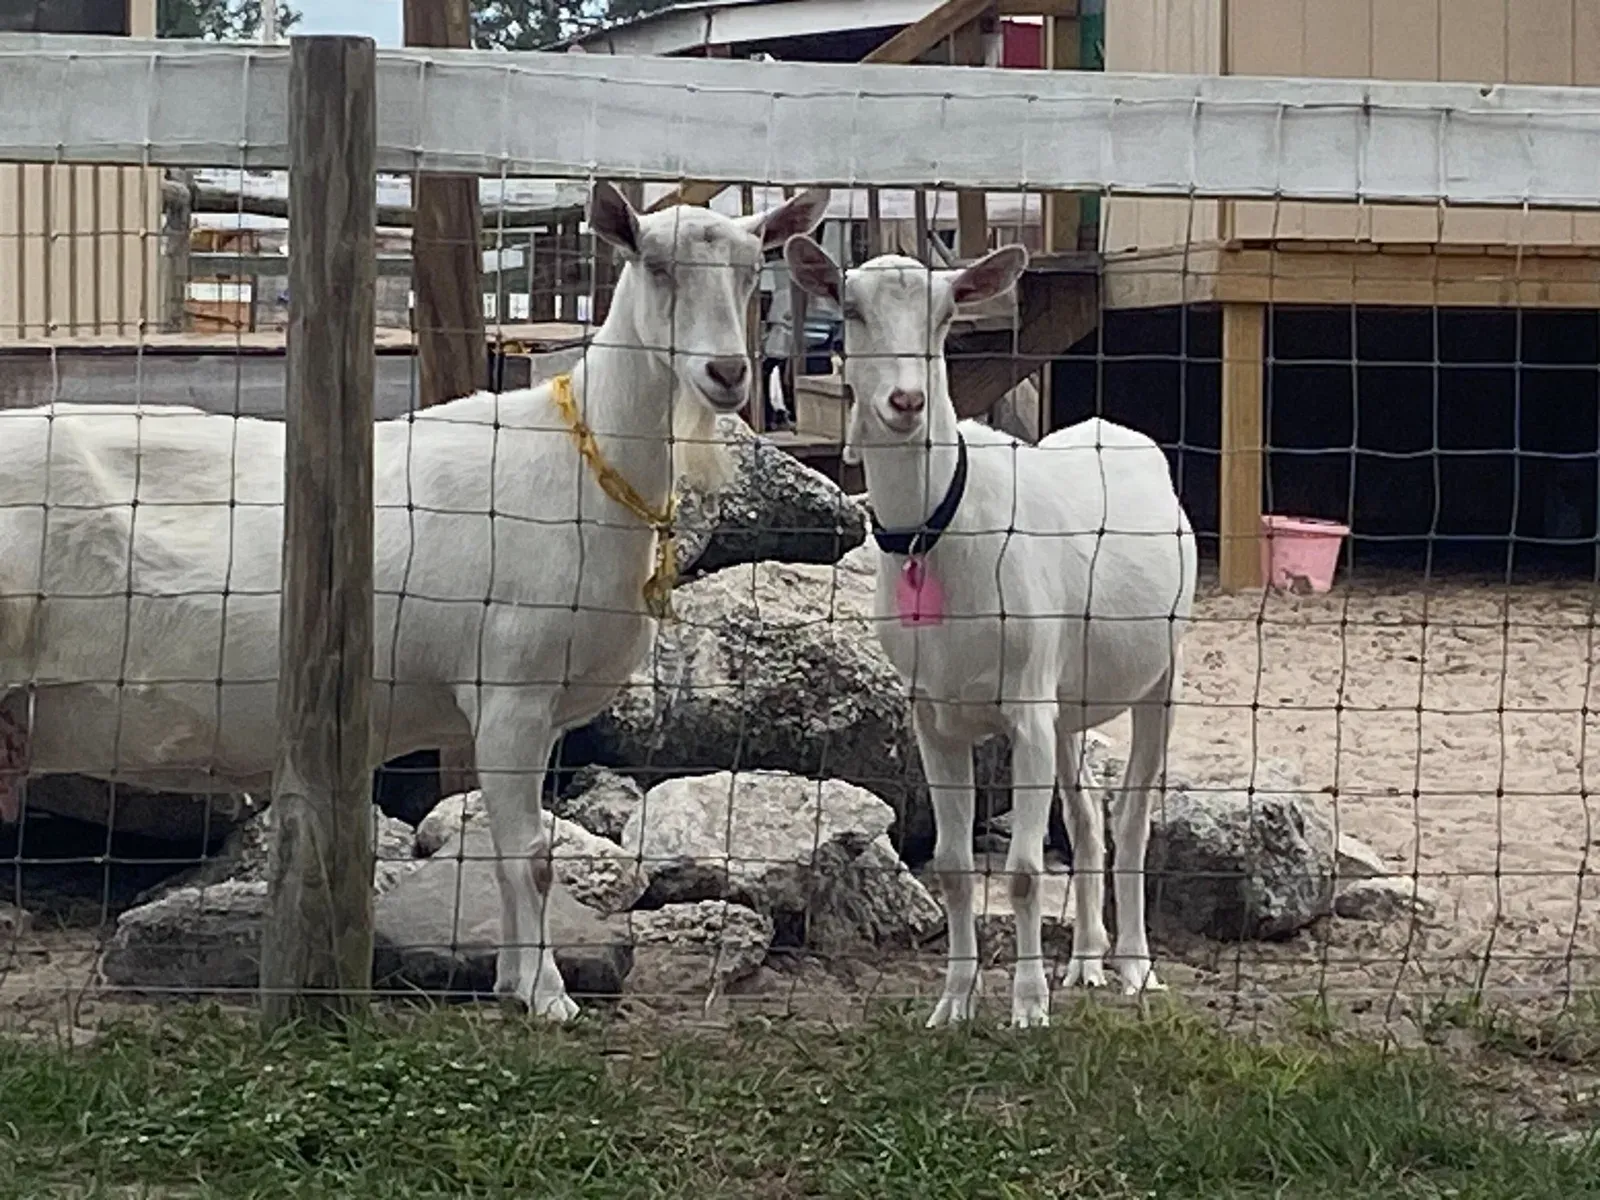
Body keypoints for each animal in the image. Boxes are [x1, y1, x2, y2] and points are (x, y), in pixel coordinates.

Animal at [0, 181, 829, 1020]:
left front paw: (510, 981)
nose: (726, 372)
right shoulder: (510, 687)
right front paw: (547, 996)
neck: (580, 465)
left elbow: (509, 851)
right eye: (655, 264)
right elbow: (530, 854)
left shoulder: (536, 707)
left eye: (750, 269)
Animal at [784, 236, 1197, 1027]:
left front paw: (1028, 1008)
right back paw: (1087, 963)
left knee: (1131, 815)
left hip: (1161, 667)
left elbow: (1027, 868)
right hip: (1069, 699)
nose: (905, 402)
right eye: (848, 307)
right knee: (1087, 815)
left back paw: (1134, 968)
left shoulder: (1026, 704)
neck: (941, 531)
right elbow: (951, 866)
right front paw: (953, 1003)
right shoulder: (935, 714)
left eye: (947, 313)